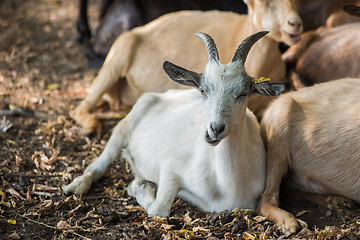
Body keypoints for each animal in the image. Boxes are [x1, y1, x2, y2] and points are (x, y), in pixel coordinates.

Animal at [63, 31, 286, 217]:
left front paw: (140, 182)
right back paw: (76, 185)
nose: (215, 129)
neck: (228, 185)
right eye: (203, 90)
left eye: (242, 94)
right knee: (100, 162)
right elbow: (158, 210)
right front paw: (140, 186)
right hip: (123, 128)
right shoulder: (171, 169)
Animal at [71, 0, 302, 135]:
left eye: (294, 1)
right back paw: (92, 127)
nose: (295, 23)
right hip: (115, 60)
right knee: (81, 107)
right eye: (266, 3)